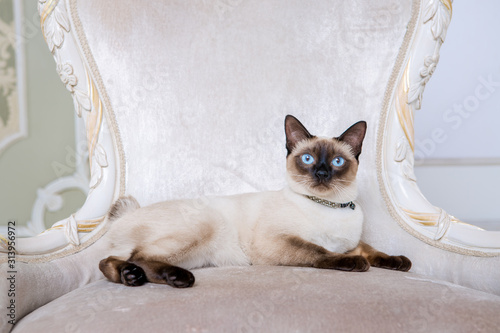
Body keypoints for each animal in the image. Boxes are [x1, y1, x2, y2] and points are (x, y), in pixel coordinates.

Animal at [99, 115, 412, 286]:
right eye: (307, 159)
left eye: (337, 162)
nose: (322, 173)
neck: (330, 206)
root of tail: (126, 214)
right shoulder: (278, 242)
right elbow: (320, 252)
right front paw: (354, 263)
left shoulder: (352, 241)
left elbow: (372, 250)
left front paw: (399, 262)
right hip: (204, 225)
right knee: (138, 257)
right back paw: (175, 279)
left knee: (113, 260)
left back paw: (130, 277)